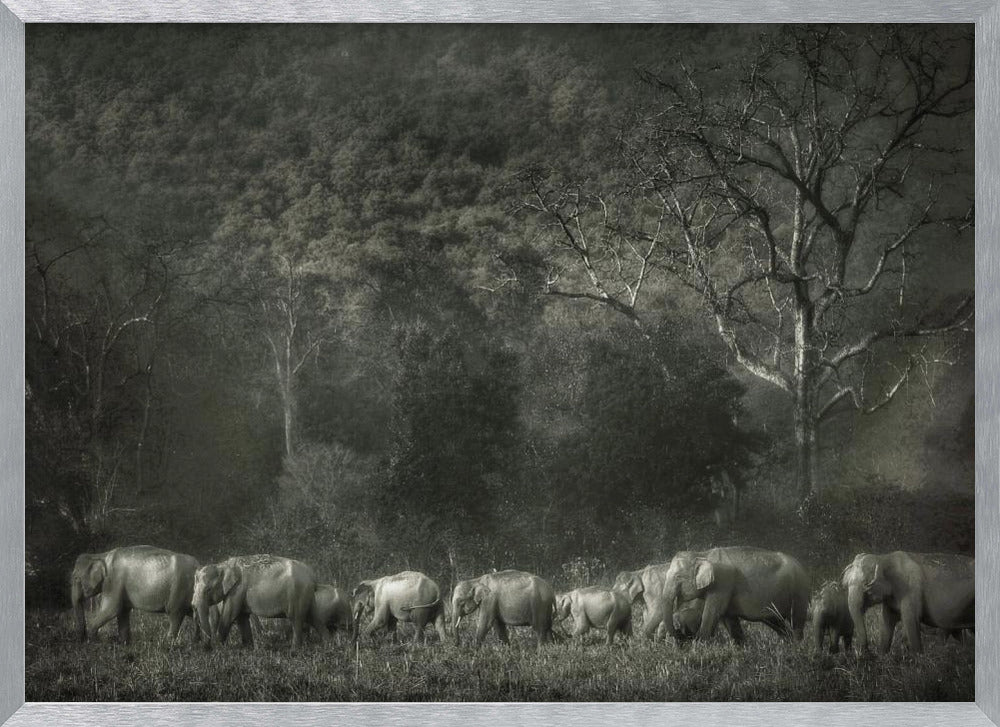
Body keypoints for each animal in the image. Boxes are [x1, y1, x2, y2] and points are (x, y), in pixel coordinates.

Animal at [70, 545, 202, 644]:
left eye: (76, 578)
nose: (82, 641)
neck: (100, 555)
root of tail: (198, 565)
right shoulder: (119, 587)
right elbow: (122, 612)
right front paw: (124, 644)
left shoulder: (113, 582)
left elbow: (111, 609)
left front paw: (95, 643)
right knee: (195, 614)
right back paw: (197, 644)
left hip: (180, 588)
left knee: (175, 614)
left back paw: (169, 645)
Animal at [192, 554, 324, 649]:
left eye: (208, 590)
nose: (207, 647)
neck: (222, 565)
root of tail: (312, 575)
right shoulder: (239, 593)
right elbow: (242, 617)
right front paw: (247, 648)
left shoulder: (237, 590)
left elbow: (229, 616)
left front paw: (219, 648)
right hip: (307, 596)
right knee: (315, 618)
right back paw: (327, 646)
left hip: (298, 594)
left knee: (296, 619)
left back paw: (294, 651)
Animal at [615, 546, 809, 644]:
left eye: (678, 577)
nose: (680, 638)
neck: (702, 554)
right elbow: (728, 618)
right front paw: (740, 648)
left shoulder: (722, 582)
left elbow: (713, 611)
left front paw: (700, 644)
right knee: (776, 621)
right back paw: (787, 644)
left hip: (800, 590)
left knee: (797, 620)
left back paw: (797, 647)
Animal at [841, 551, 974, 655]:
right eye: (846, 585)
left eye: (866, 585)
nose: (865, 652)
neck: (884, 558)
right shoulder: (891, 599)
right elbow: (886, 622)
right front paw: (882, 656)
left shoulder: (911, 589)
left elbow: (911, 620)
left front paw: (918, 660)